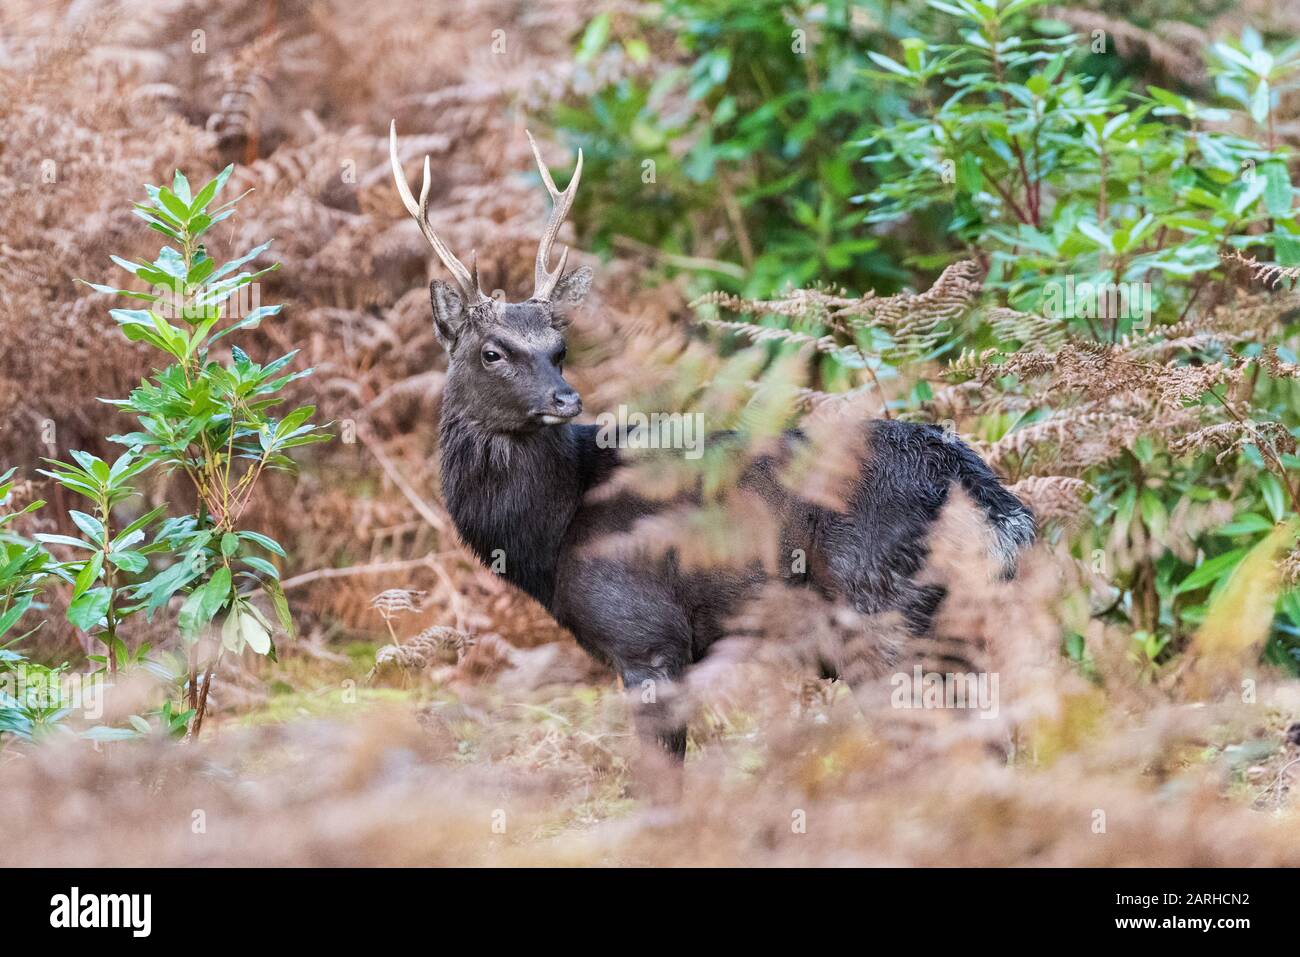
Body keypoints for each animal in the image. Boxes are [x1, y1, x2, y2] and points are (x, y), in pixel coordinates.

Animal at [388, 121, 1036, 766]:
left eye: (559, 348)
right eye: (492, 352)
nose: (566, 400)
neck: (554, 528)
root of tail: (994, 504)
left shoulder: (644, 633)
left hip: (880, 610)